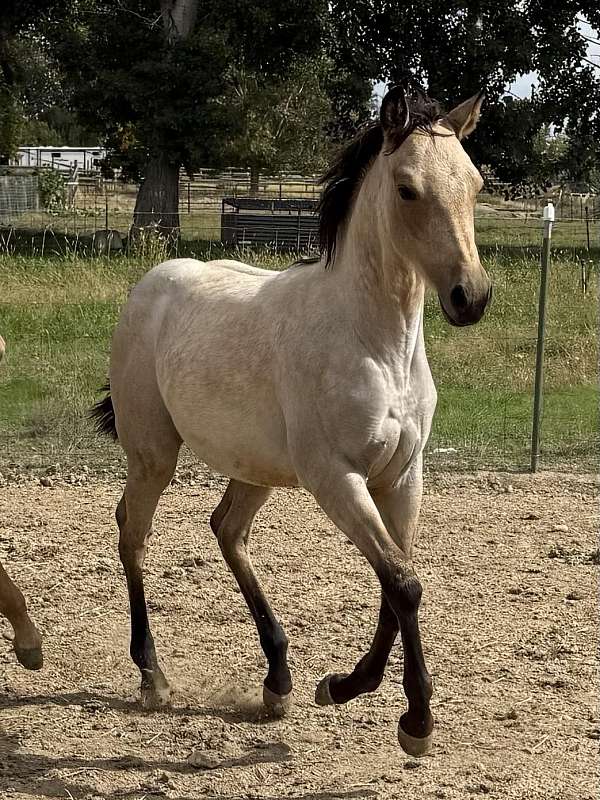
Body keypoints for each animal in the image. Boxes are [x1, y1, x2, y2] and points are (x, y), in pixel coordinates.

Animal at [91, 86, 491, 757]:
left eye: (476, 184)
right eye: (408, 189)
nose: (472, 298)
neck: (376, 344)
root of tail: (148, 285)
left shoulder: (401, 479)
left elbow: (397, 583)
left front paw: (343, 686)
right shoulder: (336, 478)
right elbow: (402, 583)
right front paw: (413, 720)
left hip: (254, 468)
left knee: (227, 530)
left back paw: (277, 679)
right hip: (153, 455)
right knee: (134, 534)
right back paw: (154, 676)